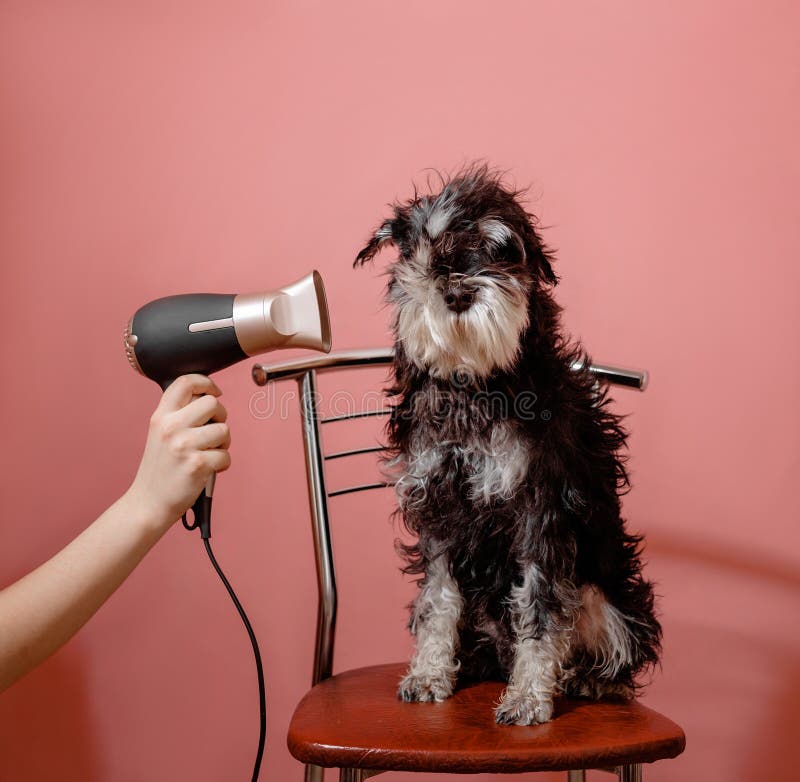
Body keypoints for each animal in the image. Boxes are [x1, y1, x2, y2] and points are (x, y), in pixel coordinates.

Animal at [356, 165, 664, 728]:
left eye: (499, 247)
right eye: (425, 245)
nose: (458, 292)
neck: (473, 384)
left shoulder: (540, 510)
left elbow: (540, 609)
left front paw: (527, 698)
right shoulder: (438, 508)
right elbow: (437, 600)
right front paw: (429, 674)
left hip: (607, 595)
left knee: (614, 649)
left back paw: (586, 680)